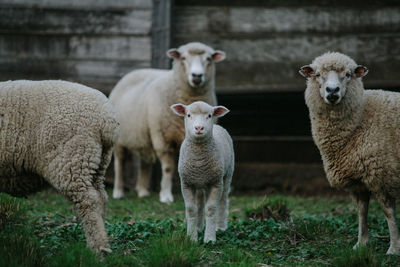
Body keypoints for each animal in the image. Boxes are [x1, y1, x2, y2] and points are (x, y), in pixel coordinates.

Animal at [0, 80, 119, 255]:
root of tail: (107, 120)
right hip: (97, 163)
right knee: (101, 197)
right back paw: (102, 240)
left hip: (73, 160)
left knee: (89, 201)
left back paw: (98, 248)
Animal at [108, 41, 225, 203]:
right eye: (183, 58)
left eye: (208, 59)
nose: (197, 76)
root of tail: (131, 73)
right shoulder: (162, 138)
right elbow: (168, 168)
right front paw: (165, 195)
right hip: (119, 138)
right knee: (119, 162)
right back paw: (118, 192)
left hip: (144, 135)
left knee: (144, 162)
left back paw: (142, 191)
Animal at [170, 101, 233, 244]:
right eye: (188, 115)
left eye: (209, 115)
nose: (199, 128)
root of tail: (217, 126)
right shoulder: (186, 183)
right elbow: (191, 209)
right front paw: (191, 238)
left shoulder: (216, 183)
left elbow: (211, 209)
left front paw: (209, 239)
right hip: (199, 183)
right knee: (199, 203)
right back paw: (199, 228)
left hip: (227, 175)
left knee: (223, 200)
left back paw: (220, 227)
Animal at [298, 51, 400, 255]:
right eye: (318, 74)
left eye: (348, 74)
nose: (332, 91)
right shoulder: (357, 179)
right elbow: (361, 210)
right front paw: (361, 243)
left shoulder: (382, 174)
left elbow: (388, 212)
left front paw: (393, 249)